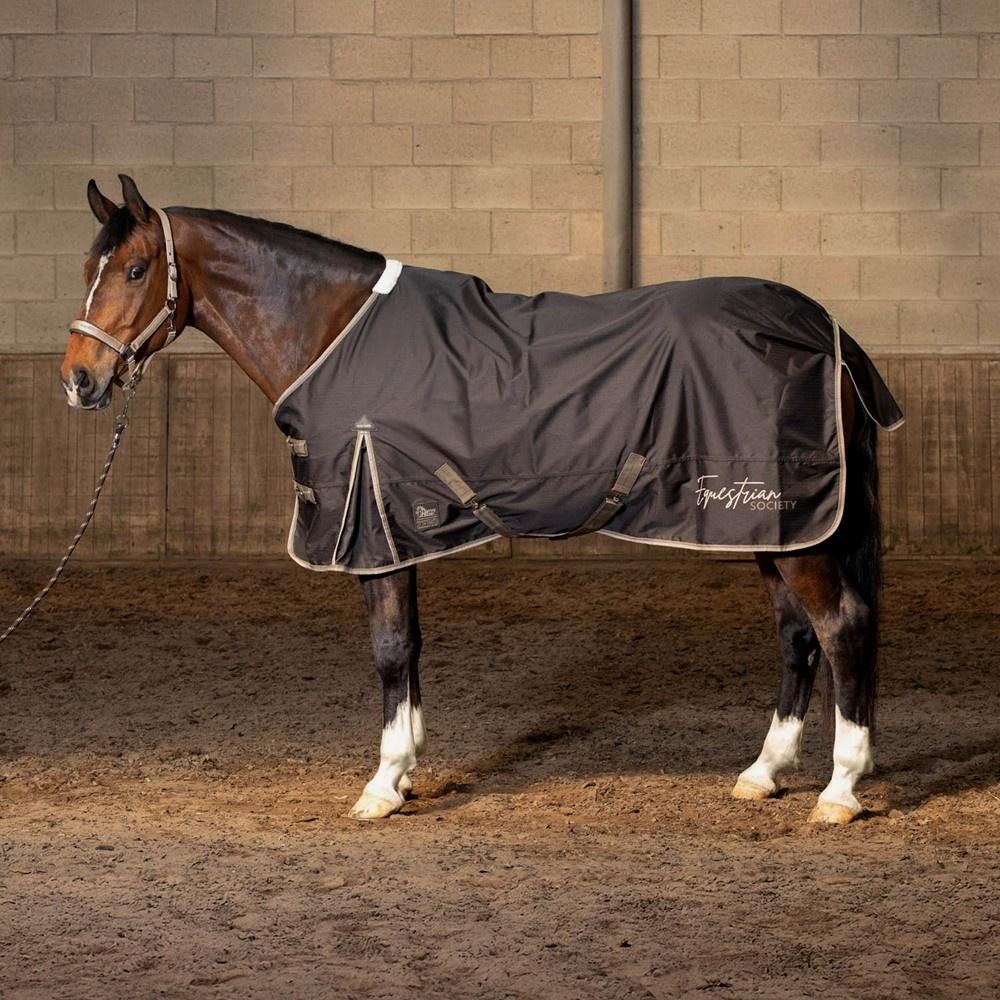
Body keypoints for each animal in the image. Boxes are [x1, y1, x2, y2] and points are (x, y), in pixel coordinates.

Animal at [61, 174, 892, 825]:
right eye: (90, 265)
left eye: (135, 269)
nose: (79, 379)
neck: (334, 335)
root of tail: (824, 328)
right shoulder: (398, 528)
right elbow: (411, 648)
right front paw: (404, 772)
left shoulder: (374, 528)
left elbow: (390, 649)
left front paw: (381, 785)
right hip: (769, 524)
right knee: (796, 635)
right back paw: (763, 774)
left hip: (792, 525)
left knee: (840, 626)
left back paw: (840, 790)